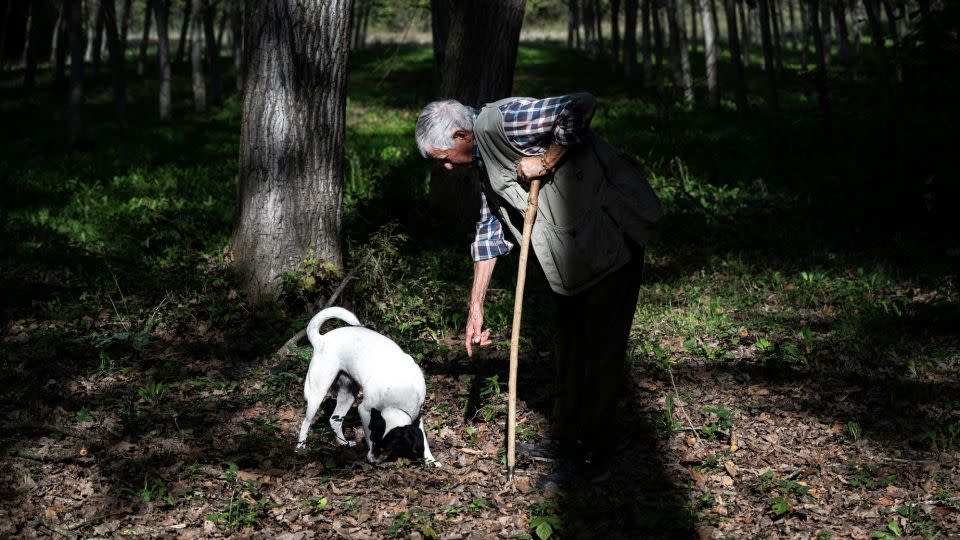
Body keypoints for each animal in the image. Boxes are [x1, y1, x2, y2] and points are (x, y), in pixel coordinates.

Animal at [294, 306, 440, 466]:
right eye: (375, 440)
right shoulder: (364, 411)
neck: (398, 397)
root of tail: (321, 339)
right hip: (318, 392)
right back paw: (301, 447)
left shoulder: (417, 416)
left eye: (388, 446)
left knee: (334, 420)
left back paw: (344, 443)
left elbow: (424, 441)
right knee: (306, 422)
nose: (372, 460)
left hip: (348, 395)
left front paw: (431, 460)